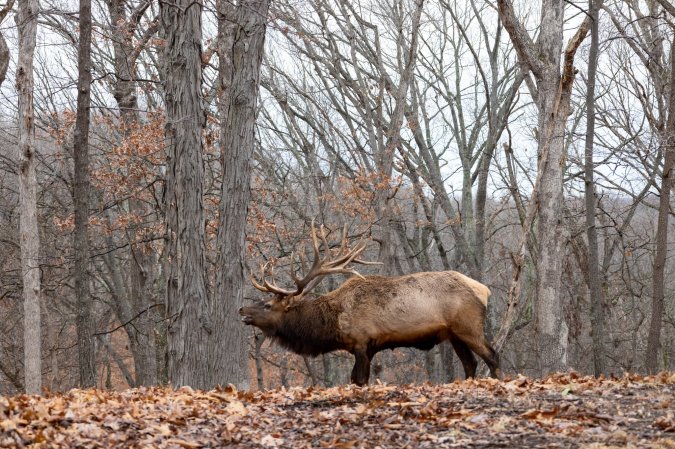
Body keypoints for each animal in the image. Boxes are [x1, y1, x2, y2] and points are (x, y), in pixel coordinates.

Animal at [242, 222, 502, 384]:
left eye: (267, 305)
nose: (242, 309)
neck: (333, 323)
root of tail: (485, 290)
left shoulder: (361, 342)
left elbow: (360, 379)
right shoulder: (364, 346)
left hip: (468, 326)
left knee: (492, 356)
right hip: (453, 334)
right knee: (470, 364)